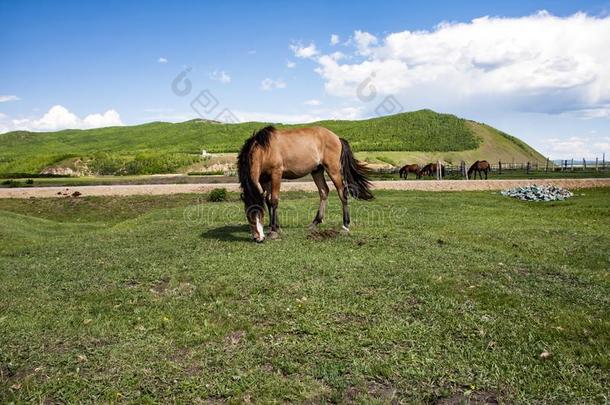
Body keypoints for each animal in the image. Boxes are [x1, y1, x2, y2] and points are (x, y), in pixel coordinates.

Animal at [236, 124, 370, 241]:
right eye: (247, 215)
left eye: (261, 214)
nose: (258, 238)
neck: (264, 149)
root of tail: (337, 138)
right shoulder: (264, 179)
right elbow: (268, 201)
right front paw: (274, 227)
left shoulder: (276, 174)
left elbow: (274, 200)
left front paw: (274, 231)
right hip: (317, 170)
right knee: (324, 191)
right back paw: (314, 223)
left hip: (334, 170)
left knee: (342, 193)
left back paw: (345, 226)